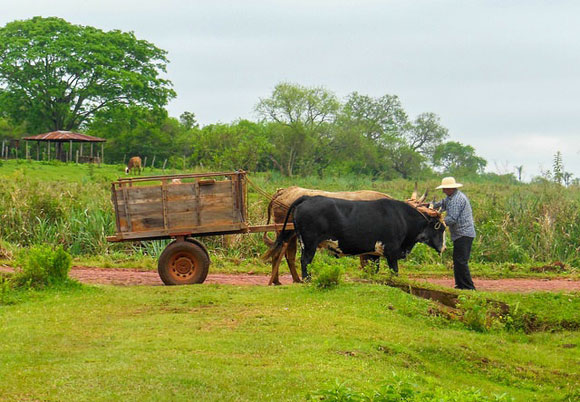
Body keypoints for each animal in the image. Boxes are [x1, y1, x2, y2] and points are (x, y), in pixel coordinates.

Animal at [264, 186, 394, 284]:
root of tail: (284, 190)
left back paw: (288, 280)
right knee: (281, 255)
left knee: (286, 255)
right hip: (287, 233)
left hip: (291, 235)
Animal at [266, 195, 446, 280]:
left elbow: (373, 270)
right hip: (309, 243)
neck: (402, 218)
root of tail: (308, 197)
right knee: (305, 261)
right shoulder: (392, 251)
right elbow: (394, 271)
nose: (444, 247)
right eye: (441, 227)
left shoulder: (374, 254)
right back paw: (307, 279)